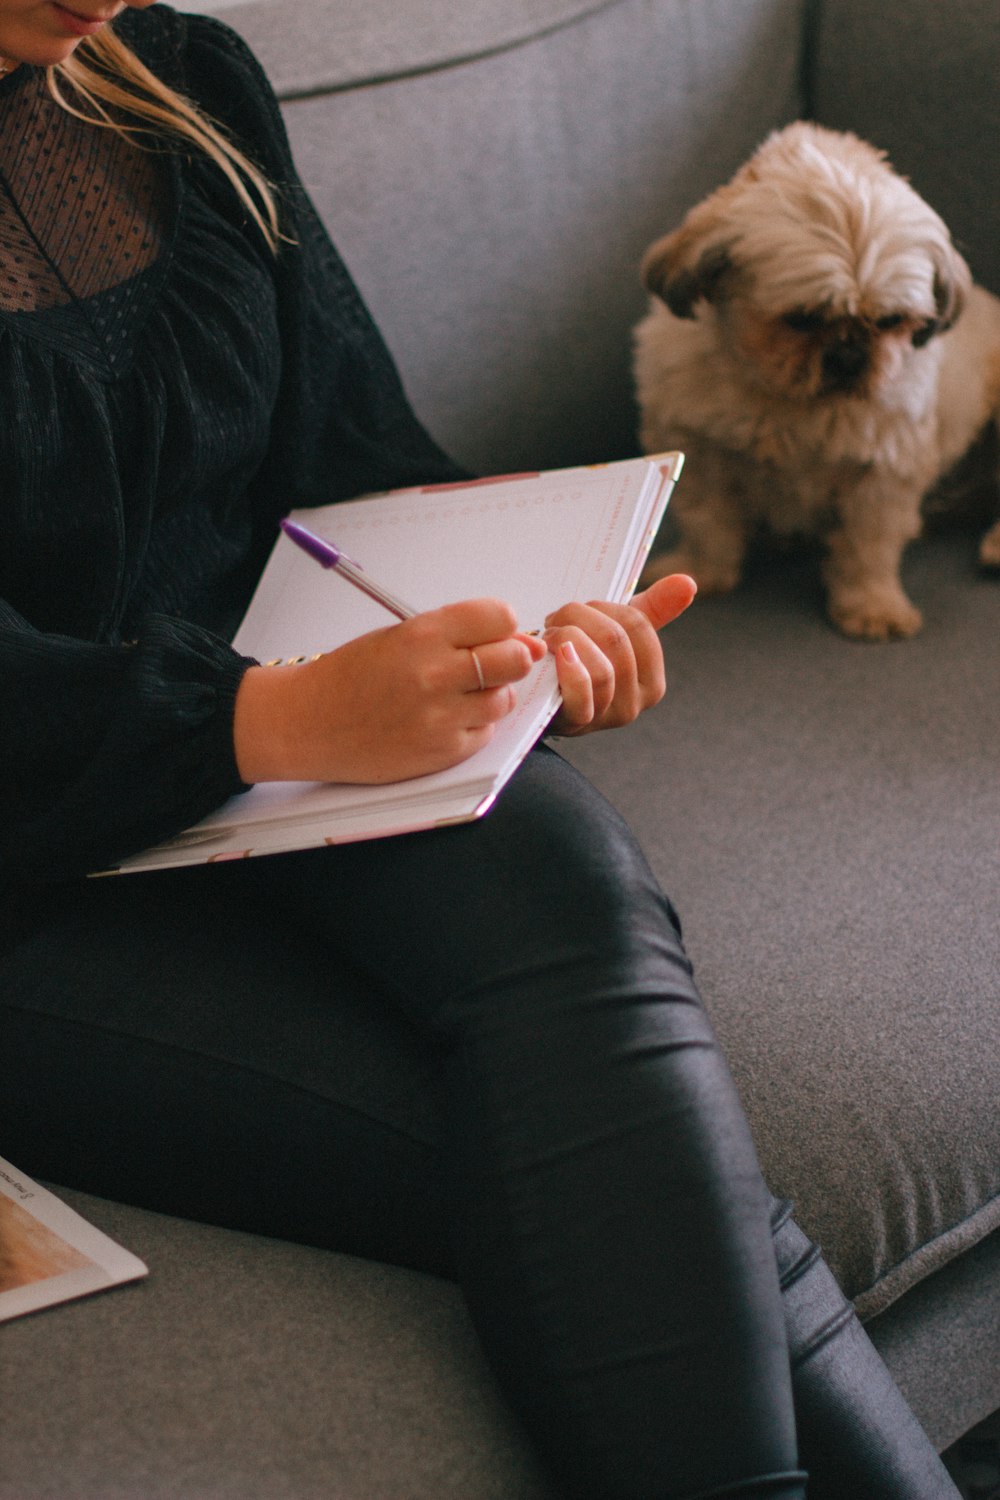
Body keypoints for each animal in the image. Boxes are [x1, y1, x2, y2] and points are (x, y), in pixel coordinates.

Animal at [632, 121, 1000, 639]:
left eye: (891, 321)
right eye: (802, 320)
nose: (850, 354)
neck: (791, 398)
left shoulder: (883, 475)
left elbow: (868, 549)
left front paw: (873, 606)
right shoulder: (698, 450)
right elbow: (708, 523)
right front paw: (701, 573)